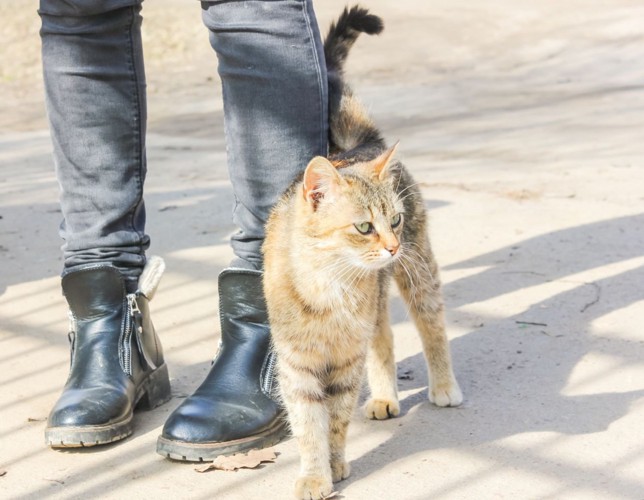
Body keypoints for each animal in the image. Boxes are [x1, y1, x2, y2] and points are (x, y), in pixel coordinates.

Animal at [262, 4, 462, 500]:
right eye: (364, 227)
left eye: (394, 220)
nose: (391, 245)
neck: (329, 287)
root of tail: (358, 147)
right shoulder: (298, 363)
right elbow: (307, 424)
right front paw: (315, 473)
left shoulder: (345, 361)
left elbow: (334, 421)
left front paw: (333, 466)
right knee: (384, 340)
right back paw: (386, 397)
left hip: (419, 274)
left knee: (432, 329)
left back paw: (444, 385)